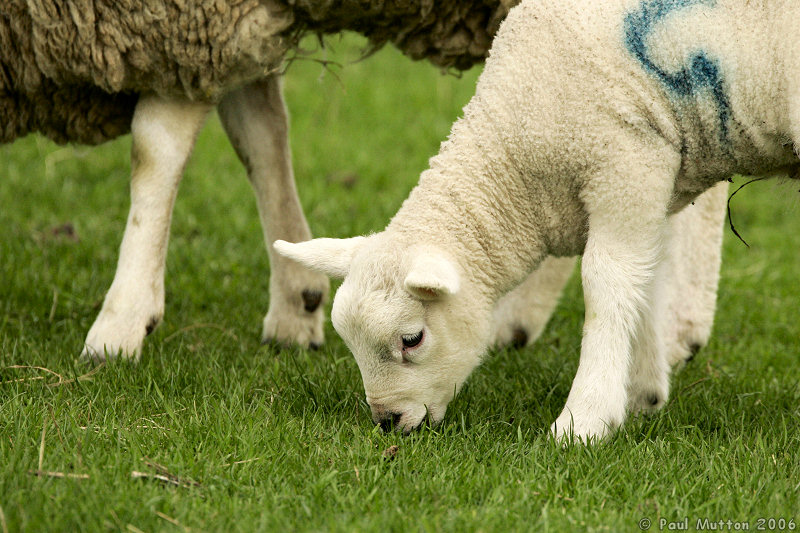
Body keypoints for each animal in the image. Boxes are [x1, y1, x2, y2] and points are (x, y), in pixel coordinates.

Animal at [1, 0, 531, 360]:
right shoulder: (227, 29)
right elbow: (260, 133)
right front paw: (297, 300)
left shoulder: (179, 29)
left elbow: (154, 149)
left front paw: (120, 321)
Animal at [273, 0, 789, 442]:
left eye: (412, 339)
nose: (387, 421)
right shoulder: (650, 179)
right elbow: (644, 280)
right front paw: (641, 392)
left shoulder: (626, 165)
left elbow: (608, 283)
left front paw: (585, 420)